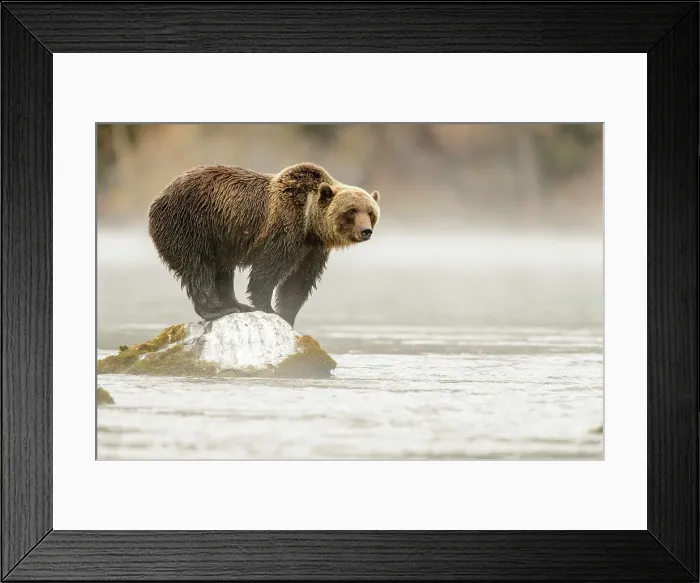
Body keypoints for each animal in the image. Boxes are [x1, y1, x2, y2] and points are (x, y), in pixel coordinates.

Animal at [148, 162, 381, 328]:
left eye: (371, 212)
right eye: (352, 210)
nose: (365, 231)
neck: (309, 224)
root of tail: (159, 196)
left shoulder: (313, 250)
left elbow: (299, 282)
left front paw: (287, 315)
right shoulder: (285, 229)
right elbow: (268, 270)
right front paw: (268, 308)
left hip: (220, 239)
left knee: (222, 270)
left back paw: (235, 305)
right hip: (191, 225)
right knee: (198, 267)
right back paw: (217, 309)